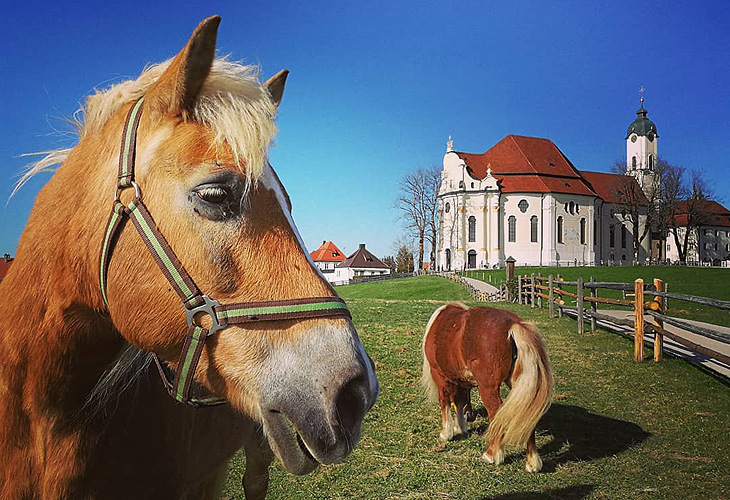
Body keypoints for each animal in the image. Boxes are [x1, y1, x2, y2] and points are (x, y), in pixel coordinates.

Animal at [420, 302, 552, 470]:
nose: (470, 417)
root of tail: (513, 325)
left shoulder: (440, 376)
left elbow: (445, 401)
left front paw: (446, 433)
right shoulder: (462, 381)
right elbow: (460, 401)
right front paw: (460, 427)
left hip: (487, 388)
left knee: (495, 413)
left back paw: (492, 455)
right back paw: (532, 463)